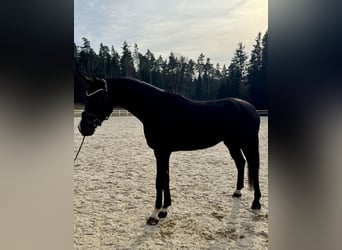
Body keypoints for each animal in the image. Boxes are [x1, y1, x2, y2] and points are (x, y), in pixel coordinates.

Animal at [78, 75, 262, 226]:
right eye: (86, 97)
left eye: (98, 97)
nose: (83, 127)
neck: (156, 108)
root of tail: (251, 108)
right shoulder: (162, 152)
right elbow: (166, 178)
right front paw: (164, 209)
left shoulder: (162, 151)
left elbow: (159, 180)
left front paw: (154, 215)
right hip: (231, 143)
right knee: (241, 162)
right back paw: (237, 192)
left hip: (248, 142)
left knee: (254, 166)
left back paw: (256, 202)